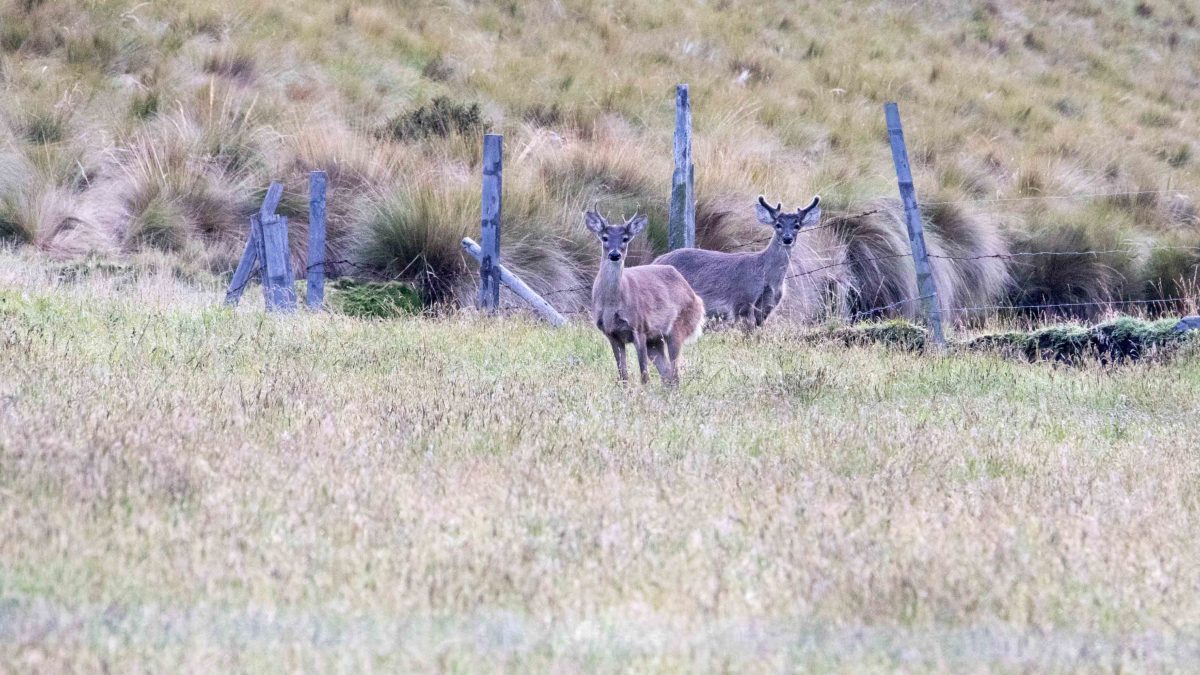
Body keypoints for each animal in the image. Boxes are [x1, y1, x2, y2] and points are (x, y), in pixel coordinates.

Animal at [585, 209, 705, 387]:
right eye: (604, 237)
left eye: (625, 238)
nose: (615, 254)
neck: (612, 306)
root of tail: (696, 297)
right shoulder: (611, 334)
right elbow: (623, 375)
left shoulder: (639, 328)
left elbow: (644, 375)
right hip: (655, 340)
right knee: (667, 374)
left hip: (678, 327)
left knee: (675, 375)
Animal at [653, 195, 821, 330]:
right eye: (778, 225)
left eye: (797, 225)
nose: (787, 238)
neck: (766, 274)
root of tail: (656, 260)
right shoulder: (742, 300)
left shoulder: (767, 307)